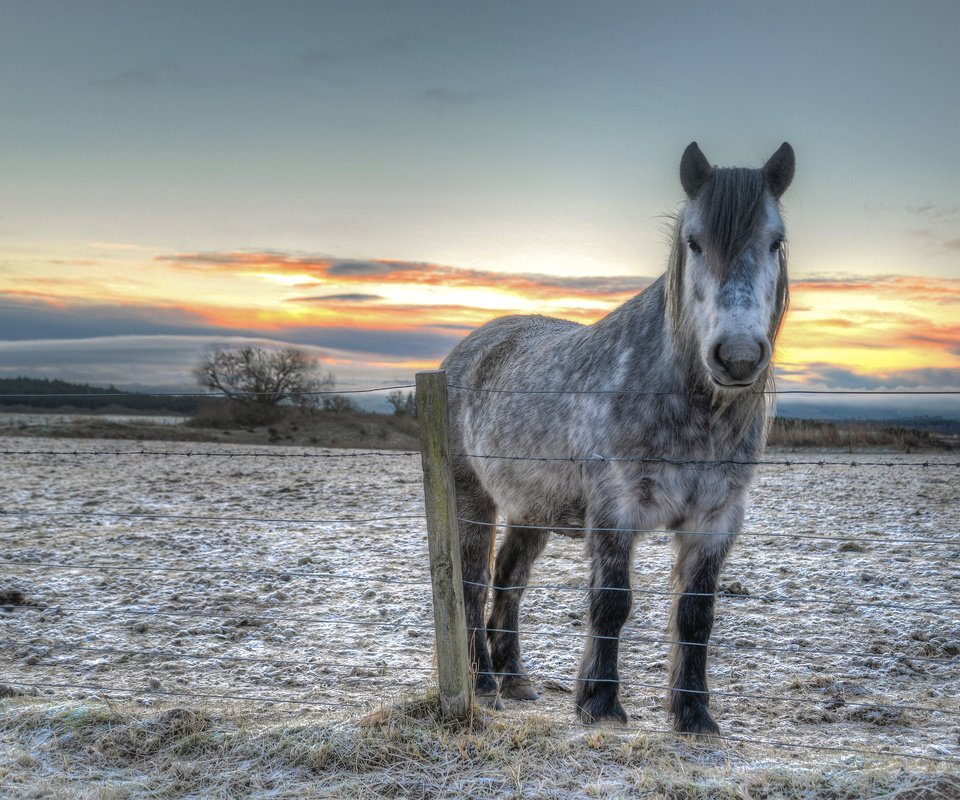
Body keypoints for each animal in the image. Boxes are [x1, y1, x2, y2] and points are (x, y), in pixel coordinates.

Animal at [440, 142, 796, 732]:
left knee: (509, 579)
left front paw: (693, 712)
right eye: (694, 241)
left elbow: (696, 614)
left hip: (531, 509)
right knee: (471, 585)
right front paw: (600, 703)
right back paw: (486, 685)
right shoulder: (615, 510)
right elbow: (611, 602)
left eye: (776, 241)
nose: (739, 356)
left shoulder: (715, 520)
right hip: (473, 500)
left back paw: (515, 679)